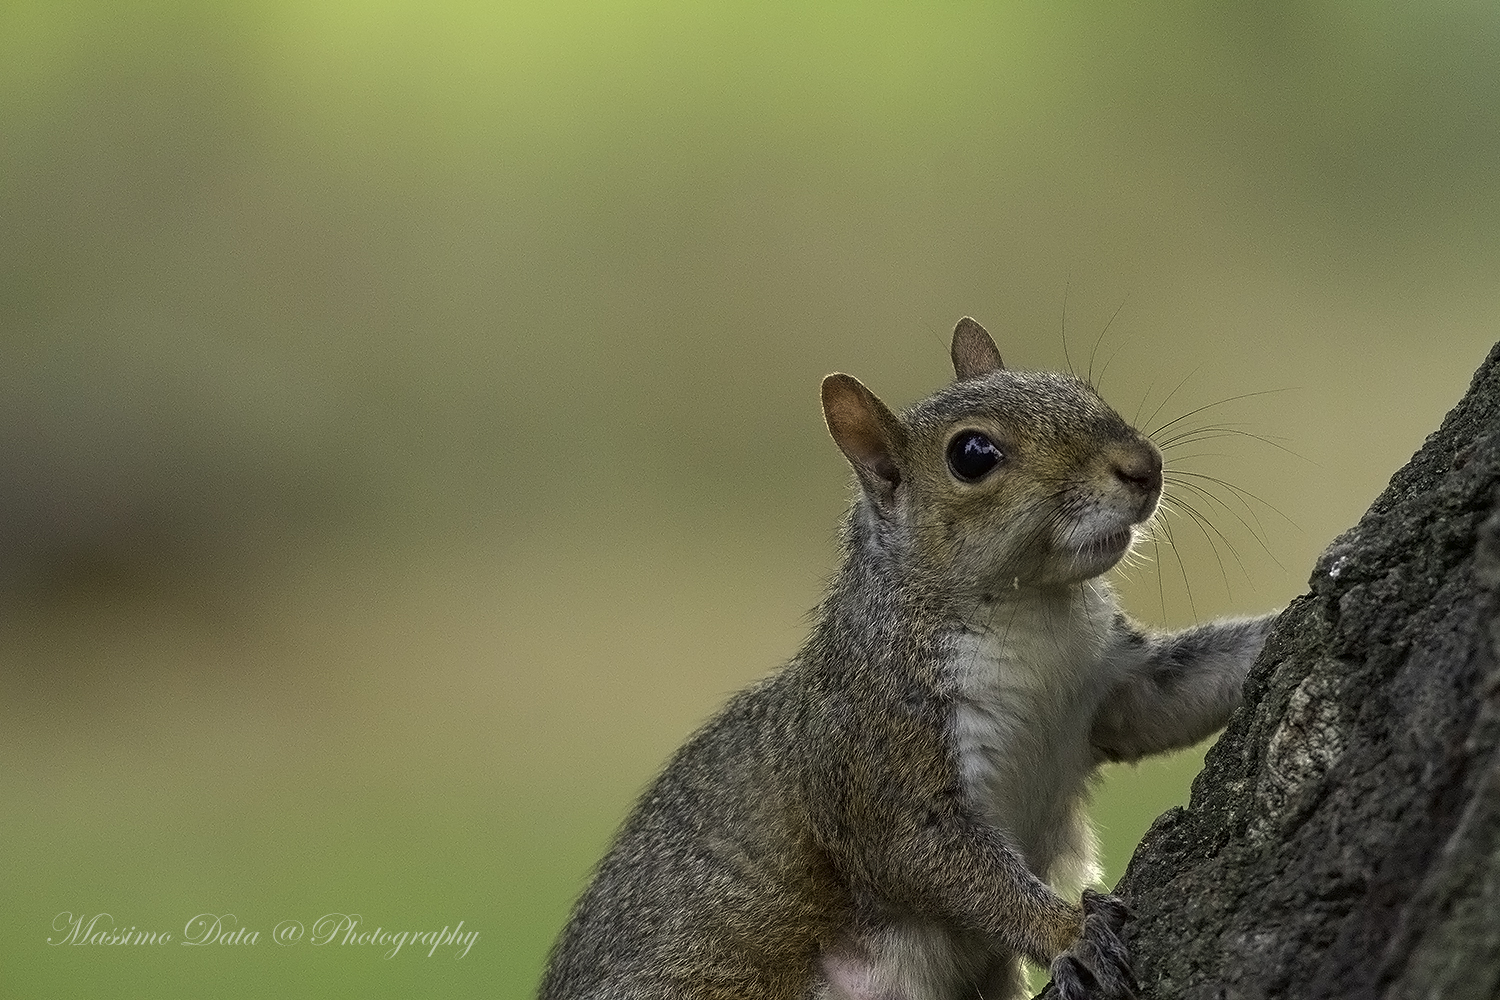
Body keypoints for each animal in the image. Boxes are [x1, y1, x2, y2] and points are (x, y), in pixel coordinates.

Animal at [540, 316, 1278, 995]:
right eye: (973, 454)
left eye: (1079, 388)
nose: (1145, 467)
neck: (1032, 615)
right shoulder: (883, 753)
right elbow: (935, 860)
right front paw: (1070, 931)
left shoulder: (1110, 685)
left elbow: (1175, 698)